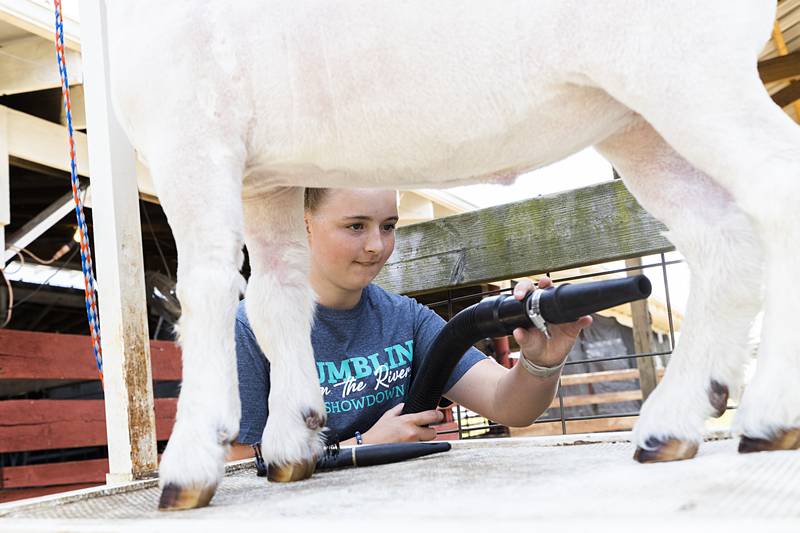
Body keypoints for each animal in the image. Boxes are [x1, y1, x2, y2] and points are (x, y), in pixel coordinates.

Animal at [106, 0, 800, 508]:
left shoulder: (189, 128)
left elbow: (206, 287)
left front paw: (188, 466)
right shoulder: (265, 177)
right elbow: (278, 295)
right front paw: (289, 444)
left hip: (681, 67)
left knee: (778, 186)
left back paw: (768, 415)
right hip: (635, 117)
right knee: (720, 236)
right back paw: (672, 424)